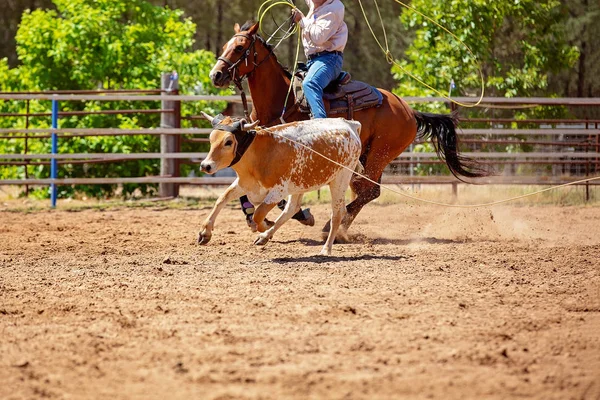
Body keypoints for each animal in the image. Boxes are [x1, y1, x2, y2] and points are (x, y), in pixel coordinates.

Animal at [199, 113, 364, 256]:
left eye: (228, 142)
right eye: (211, 139)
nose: (206, 165)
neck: (261, 154)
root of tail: (350, 124)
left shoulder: (278, 191)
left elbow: (258, 214)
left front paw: (265, 226)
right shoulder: (245, 184)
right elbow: (222, 199)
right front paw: (205, 233)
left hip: (340, 179)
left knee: (337, 213)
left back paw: (326, 249)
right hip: (299, 184)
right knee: (291, 209)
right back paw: (265, 237)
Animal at [209, 20, 486, 236]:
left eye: (240, 47)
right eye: (224, 46)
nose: (216, 75)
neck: (280, 102)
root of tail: (409, 111)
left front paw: (302, 216)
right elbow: (243, 191)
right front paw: (253, 217)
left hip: (379, 155)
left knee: (369, 191)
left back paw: (332, 227)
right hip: (365, 157)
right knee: (365, 191)